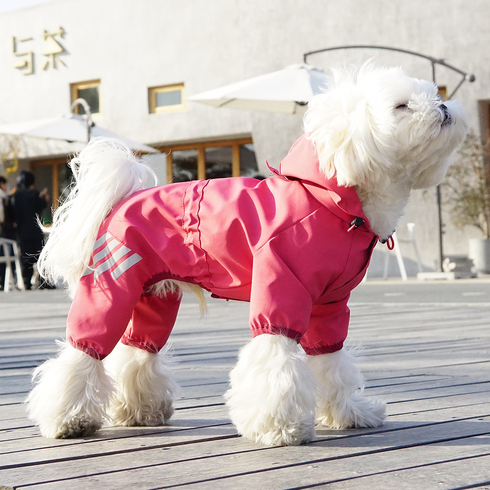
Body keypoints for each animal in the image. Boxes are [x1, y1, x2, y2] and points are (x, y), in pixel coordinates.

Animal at [25, 66, 468, 448]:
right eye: (401, 106)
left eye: (433, 93)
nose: (444, 106)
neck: (333, 200)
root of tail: (122, 198)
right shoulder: (282, 288)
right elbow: (276, 361)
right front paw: (281, 428)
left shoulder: (329, 306)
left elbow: (333, 362)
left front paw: (350, 413)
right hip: (111, 286)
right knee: (83, 351)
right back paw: (67, 420)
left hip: (154, 297)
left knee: (137, 352)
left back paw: (139, 411)